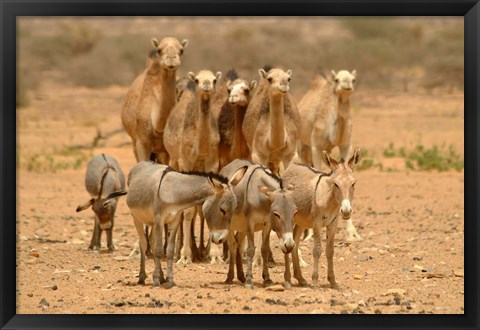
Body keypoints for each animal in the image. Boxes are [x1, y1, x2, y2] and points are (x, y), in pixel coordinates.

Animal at [162, 70, 220, 266]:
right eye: (197, 79)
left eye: (215, 79)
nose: (206, 84)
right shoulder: (185, 162)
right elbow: (187, 211)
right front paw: (185, 256)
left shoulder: (212, 164)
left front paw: (215, 255)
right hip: (173, 160)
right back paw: (176, 250)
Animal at [296, 69, 360, 241]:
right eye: (337, 79)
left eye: (353, 79)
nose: (346, 85)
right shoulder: (316, 146)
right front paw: (311, 233)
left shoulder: (346, 145)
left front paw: (352, 234)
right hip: (302, 147)